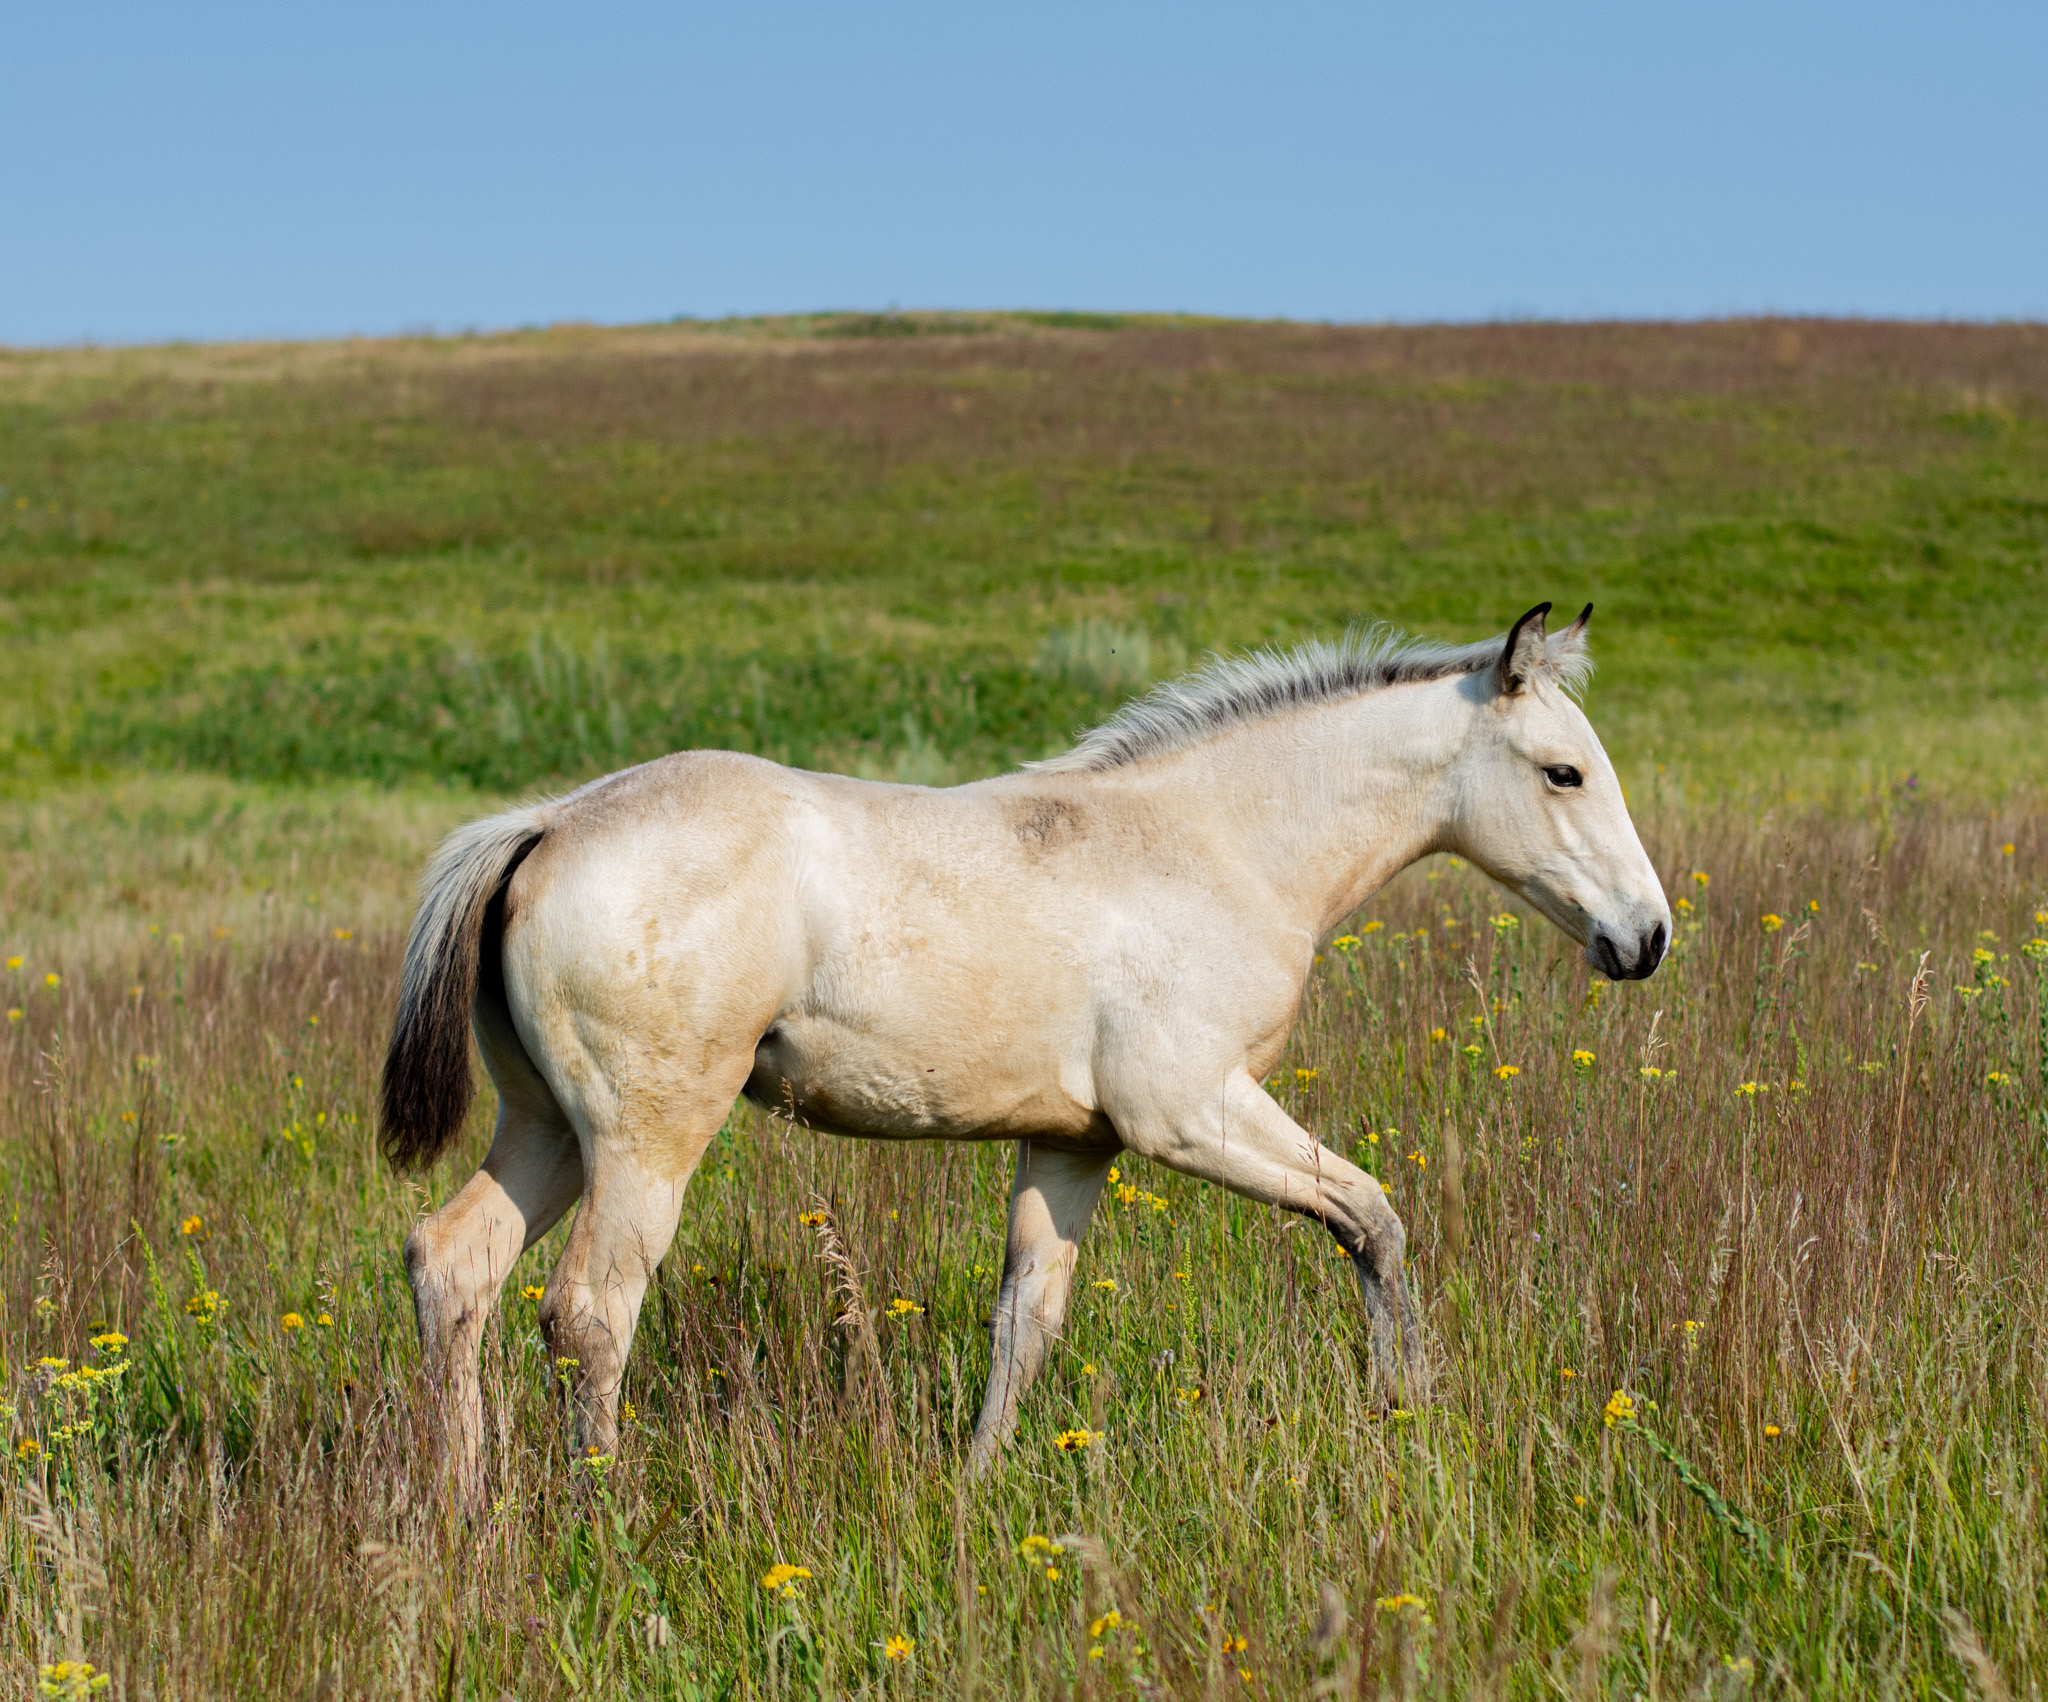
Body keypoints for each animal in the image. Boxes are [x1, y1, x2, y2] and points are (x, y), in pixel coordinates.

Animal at [382, 601, 1669, 1489]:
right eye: (1562, 772)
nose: (1645, 936)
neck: (1210, 844)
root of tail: (546, 823)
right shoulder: (1190, 1112)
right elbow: (1371, 1217)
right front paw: (1403, 1405)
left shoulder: (1075, 1146)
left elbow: (1026, 1321)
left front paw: (978, 1484)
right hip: (645, 1138)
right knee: (589, 1312)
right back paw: (603, 1515)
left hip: (548, 1128)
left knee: (455, 1266)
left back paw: (466, 1508)